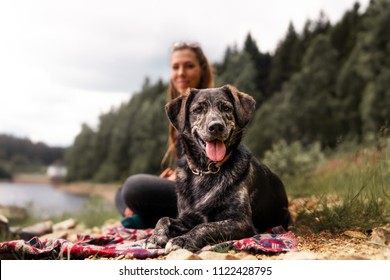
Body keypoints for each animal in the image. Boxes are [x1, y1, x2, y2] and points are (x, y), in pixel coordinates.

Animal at [146, 85, 290, 252]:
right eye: (198, 109)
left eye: (226, 108)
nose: (216, 126)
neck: (205, 170)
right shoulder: (187, 218)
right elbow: (163, 219)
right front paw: (155, 237)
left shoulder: (241, 222)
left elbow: (205, 226)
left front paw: (182, 240)